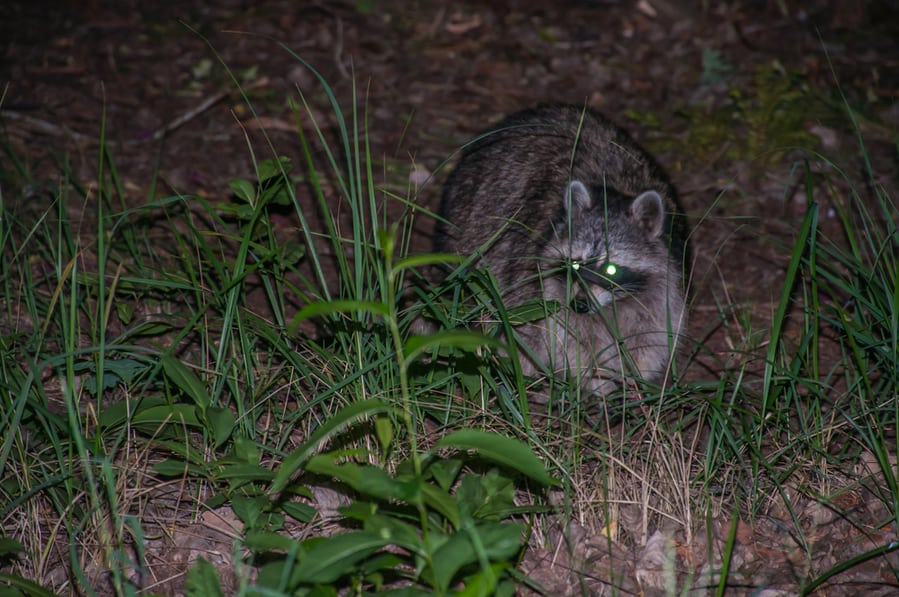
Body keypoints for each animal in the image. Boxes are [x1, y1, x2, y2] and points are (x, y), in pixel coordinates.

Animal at [434, 105, 688, 394]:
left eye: (611, 269)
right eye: (575, 263)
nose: (580, 304)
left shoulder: (665, 279)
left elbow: (654, 334)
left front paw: (632, 376)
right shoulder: (538, 278)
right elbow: (560, 335)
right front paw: (589, 377)